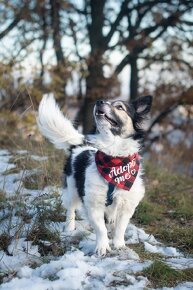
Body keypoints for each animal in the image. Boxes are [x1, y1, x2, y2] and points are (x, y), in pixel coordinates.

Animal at [37, 94, 152, 255]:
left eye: (120, 107)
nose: (99, 101)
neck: (114, 162)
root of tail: (79, 146)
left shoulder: (127, 205)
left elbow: (120, 228)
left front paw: (119, 245)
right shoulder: (93, 203)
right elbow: (101, 229)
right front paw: (102, 247)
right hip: (72, 191)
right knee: (70, 210)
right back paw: (69, 228)